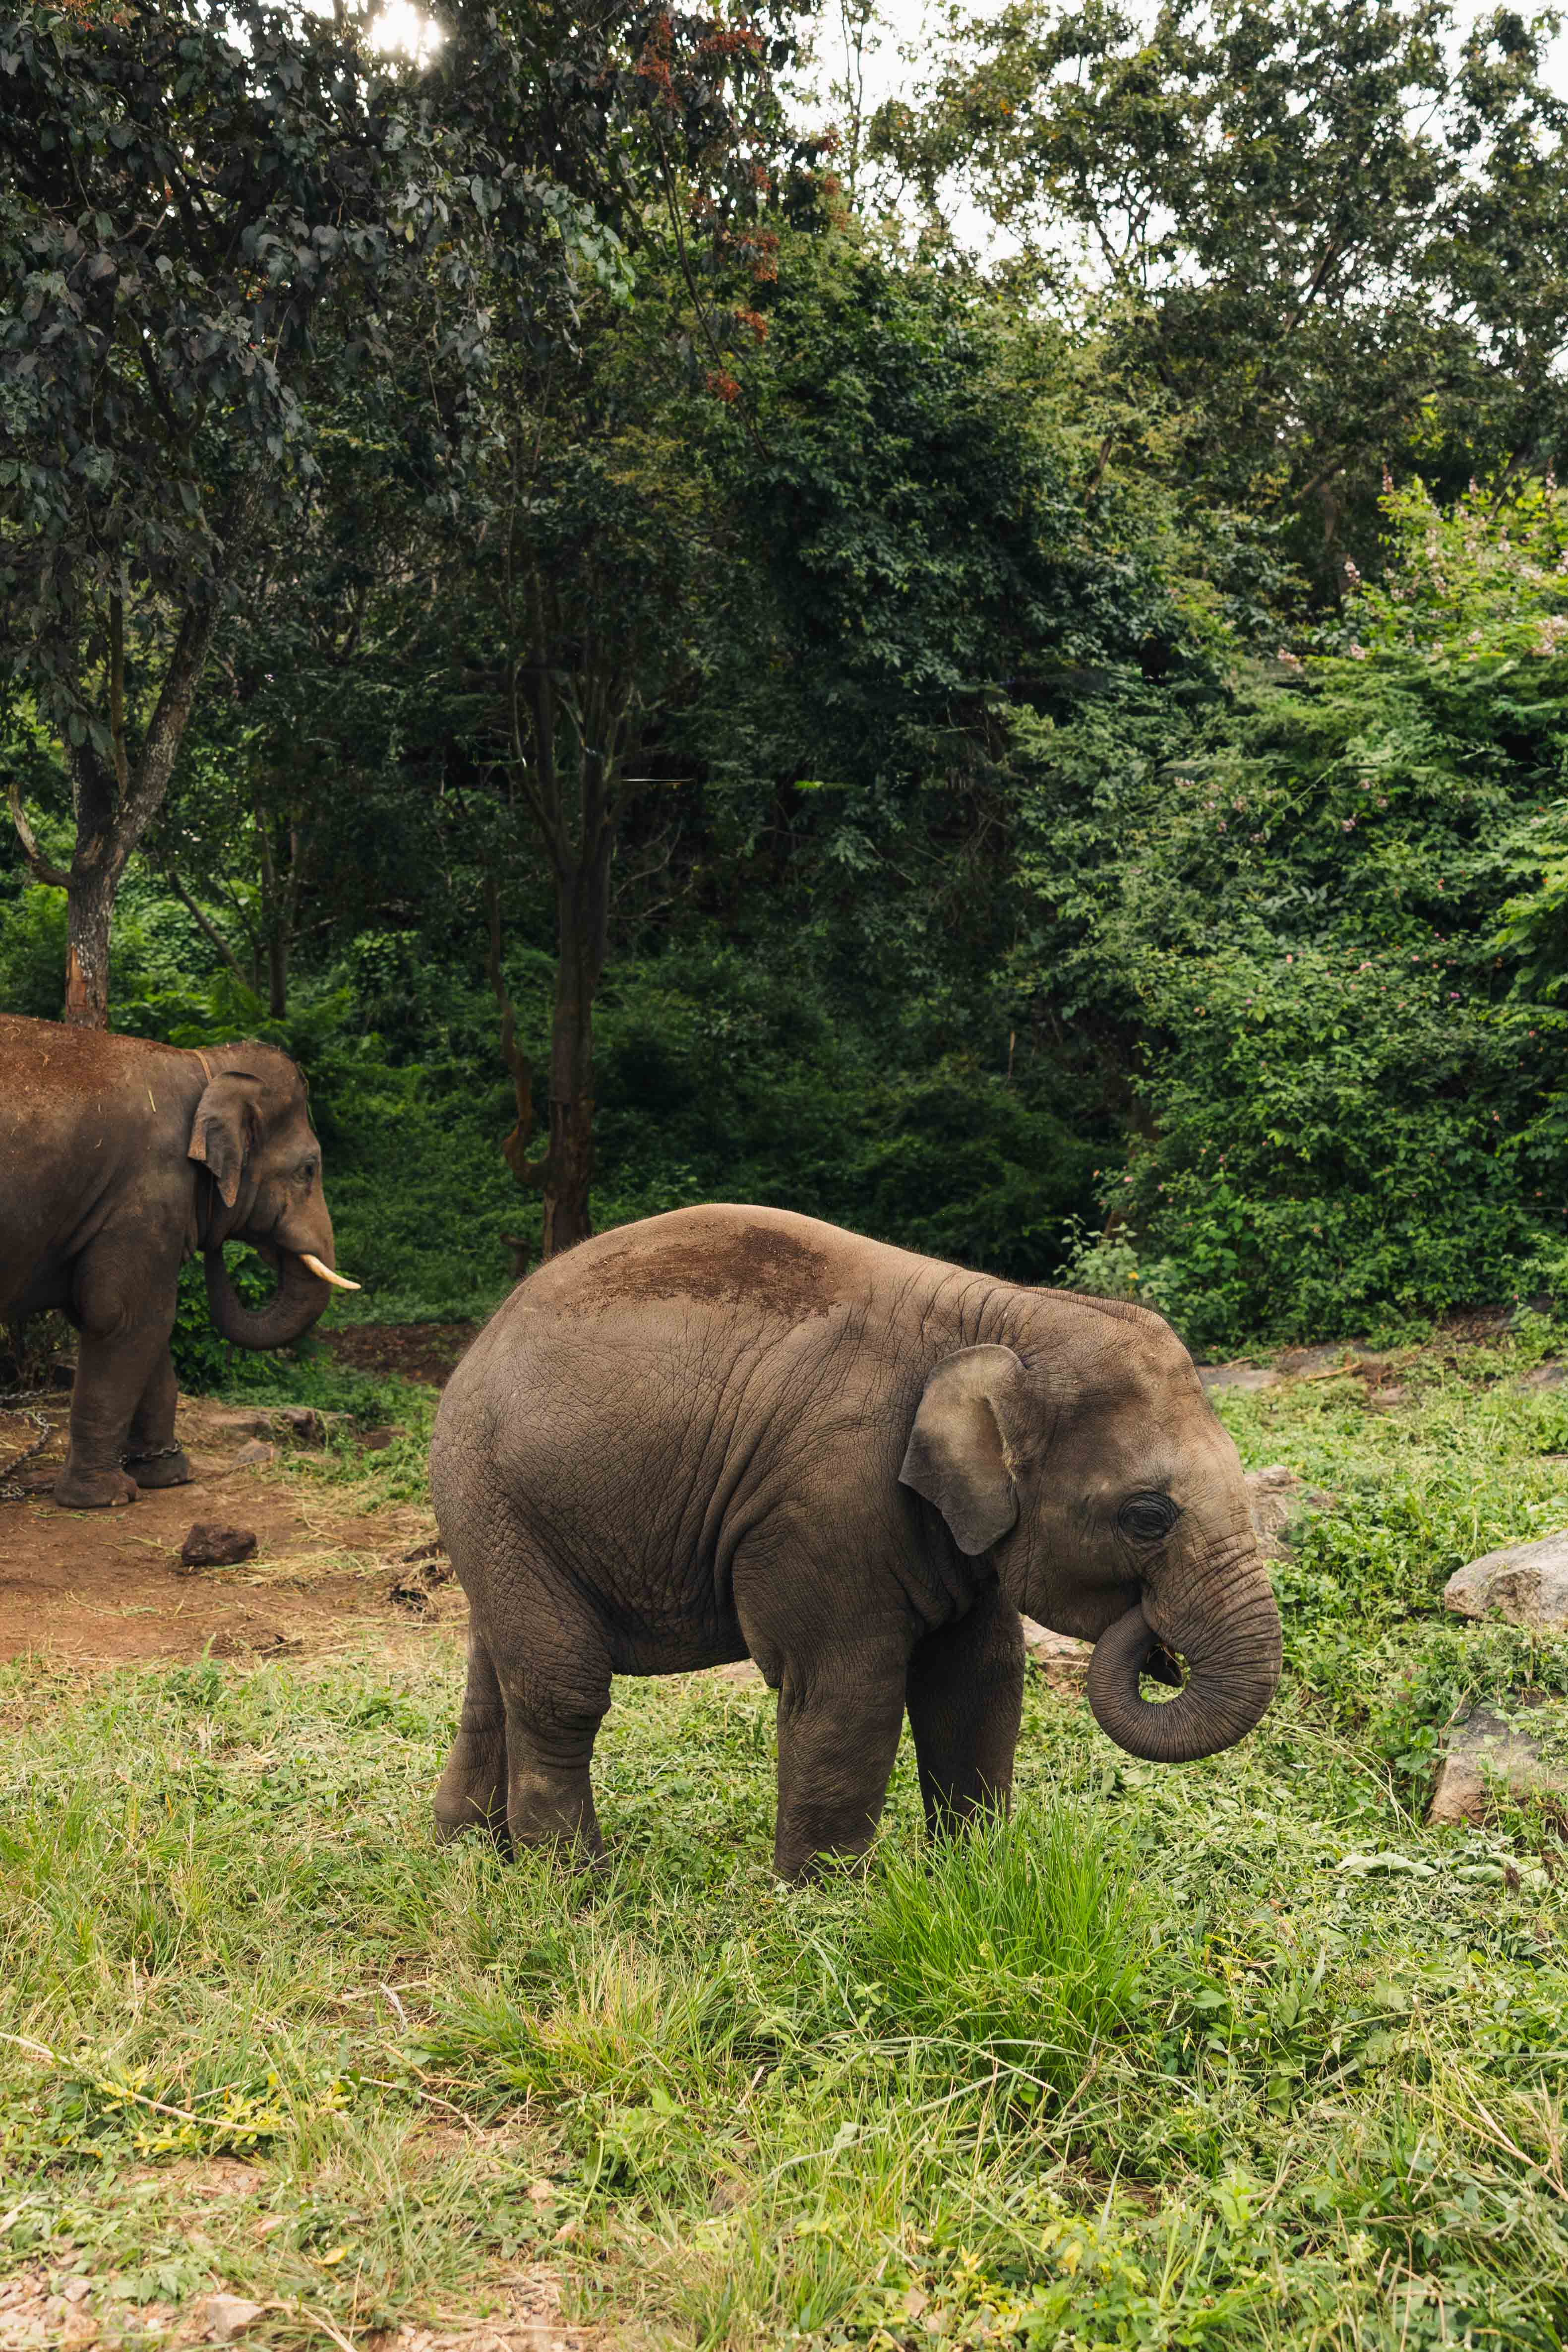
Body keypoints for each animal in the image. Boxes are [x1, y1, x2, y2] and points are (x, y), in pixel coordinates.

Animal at [0, 1013, 357, 1509]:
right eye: (308, 1169)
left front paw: (166, 1474)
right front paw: (105, 1497)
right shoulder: (150, 1190)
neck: (205, 1066)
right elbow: (124, 1316)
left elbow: (144, 1326)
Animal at [429, 1203, 1281, 1881]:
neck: (1004, 1314)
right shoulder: (826, 1500)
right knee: (564, 1687)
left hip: (499, 1518)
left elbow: (977, 1677)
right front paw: (824, 1906)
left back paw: (469, 1853)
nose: (1153, 1639)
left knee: (497, 1674)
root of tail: (481, 1342)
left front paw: (972, 1875)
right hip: (500, 1497)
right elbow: (847, 1688)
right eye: (1146, 1515)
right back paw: (574, 1886)